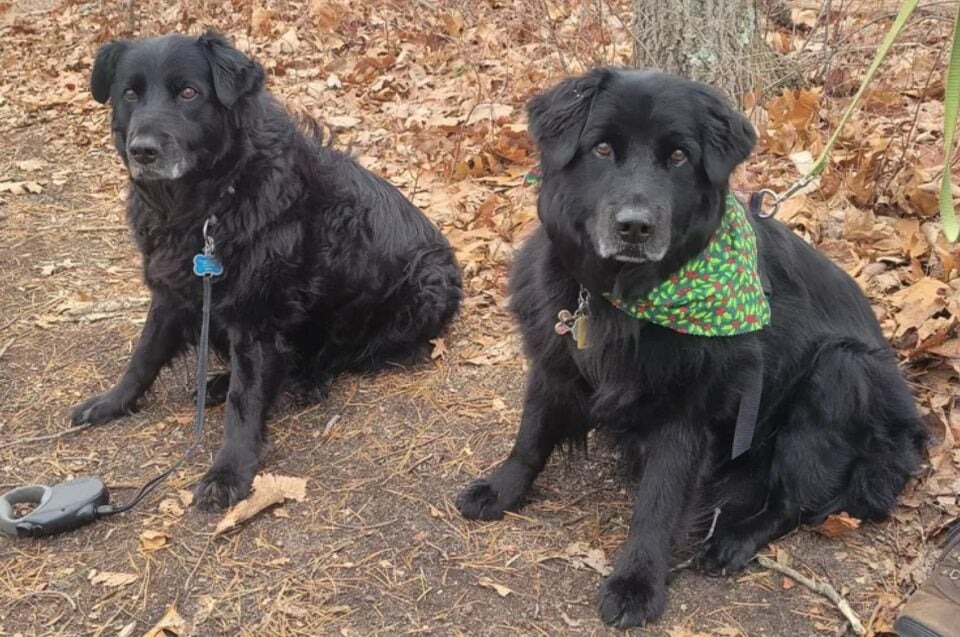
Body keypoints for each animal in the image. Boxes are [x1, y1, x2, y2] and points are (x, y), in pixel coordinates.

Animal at [73, 32, 464, 512]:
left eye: (189, 93)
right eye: (130, 93)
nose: (142, 150)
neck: (213, 201)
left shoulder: (256, 319)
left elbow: (244, 403)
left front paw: (229, 472)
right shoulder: (172, 293)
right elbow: (143, 356)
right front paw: (111, 402)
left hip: (422, 288)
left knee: (340, 357)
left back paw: (302, 379)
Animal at [458, 68, 928, 628]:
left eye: (679, 156)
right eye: (602, 149)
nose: (634, 227)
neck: (627, 298)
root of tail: (908, 430)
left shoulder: (686, 415)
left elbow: (657, 505)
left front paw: (637, 581)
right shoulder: (554, 364)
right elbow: (530, 437)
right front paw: (502, 489)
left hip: (842, 369)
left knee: (793, 502)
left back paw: (733, 540)